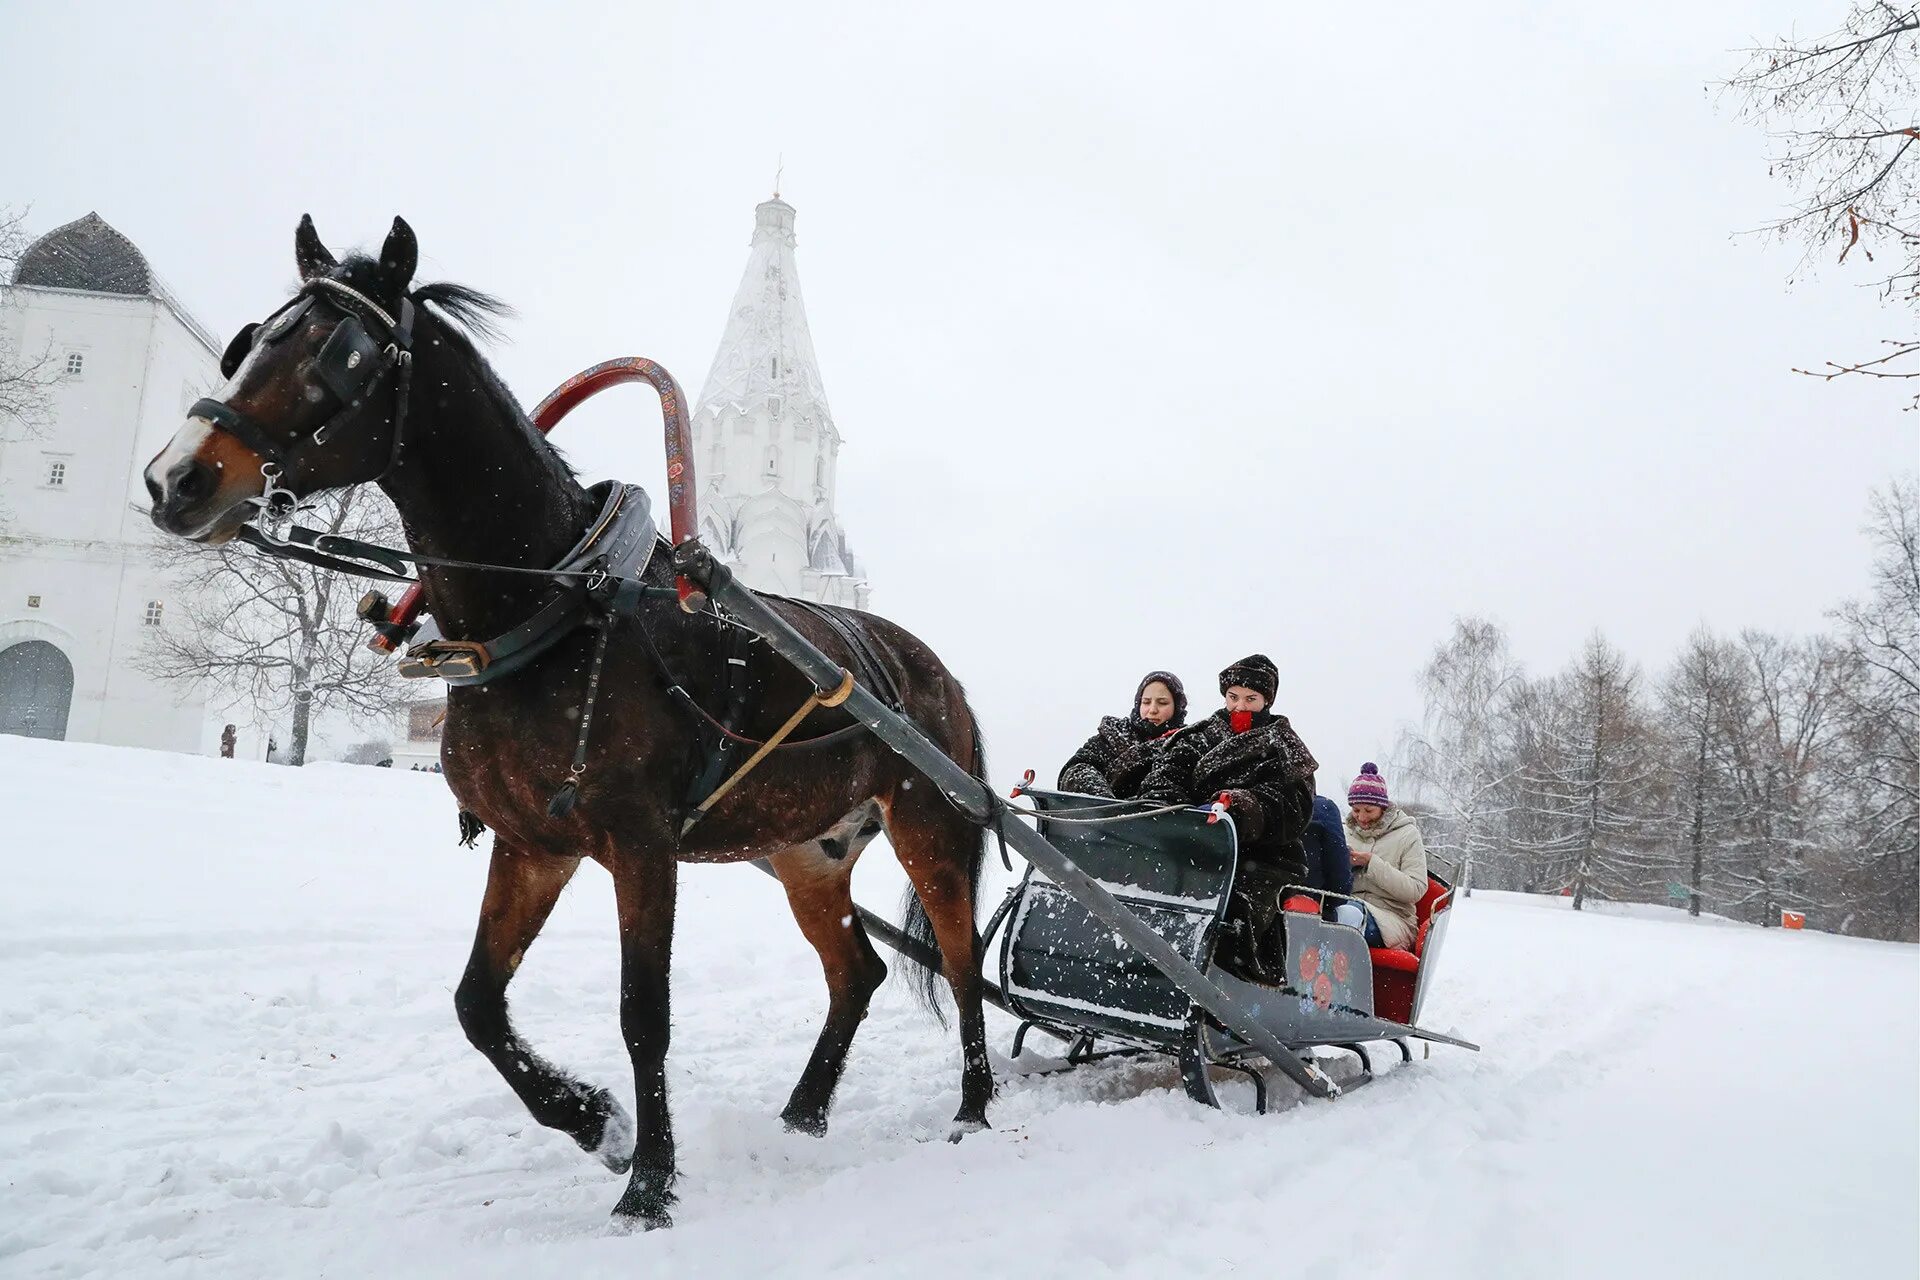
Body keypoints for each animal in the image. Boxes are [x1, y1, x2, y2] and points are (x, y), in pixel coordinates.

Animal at [139, 220, 990, 1228]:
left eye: (337, 354)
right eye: (247, 344)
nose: (175, 478)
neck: (554, 606)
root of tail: (937, 674)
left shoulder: (642, 844)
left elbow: (643, 1013)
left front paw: (650, 1181)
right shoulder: (531, 845)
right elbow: (476, 1004)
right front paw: (595, 1122)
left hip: (930, 826)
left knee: (961, 958)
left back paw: (974, 1107)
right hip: (804, 853)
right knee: (857, 972)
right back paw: (806, 1110)